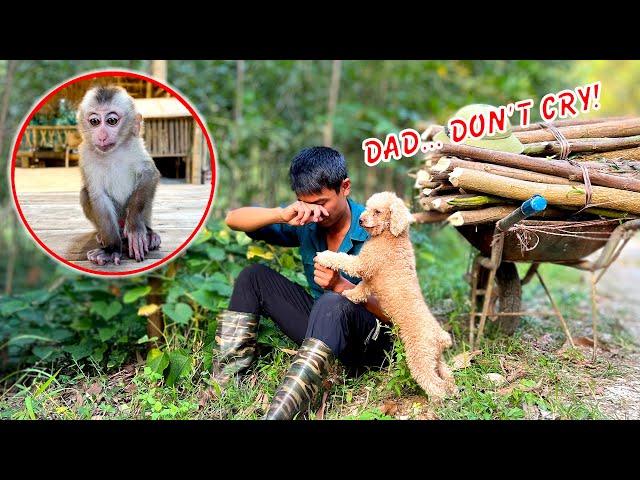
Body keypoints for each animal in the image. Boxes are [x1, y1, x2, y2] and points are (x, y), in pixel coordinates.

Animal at [76, 86, 161, 266]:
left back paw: (149, 233)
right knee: (84, 193)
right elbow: (97, 195)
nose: (102, 136)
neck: (113, 153)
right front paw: (111, 249)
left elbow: (149, 174)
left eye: (112, 121)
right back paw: (105, 236)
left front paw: (135, 226)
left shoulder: (136, 144)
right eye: (95, 121)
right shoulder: (86, 155)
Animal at [314, 192, 456, 402]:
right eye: (367, 207)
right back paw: (453, 391)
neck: (391, 234)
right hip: (436, 359)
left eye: (378, 211)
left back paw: (437, 401)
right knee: (447, 375)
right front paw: (351, 295)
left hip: (420, 358)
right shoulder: (371, 277)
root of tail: (441, 337)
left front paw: (324, 256)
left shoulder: (363, 264)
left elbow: (342, 259)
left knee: (434, 384)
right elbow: (362, 288)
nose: (360, 220)